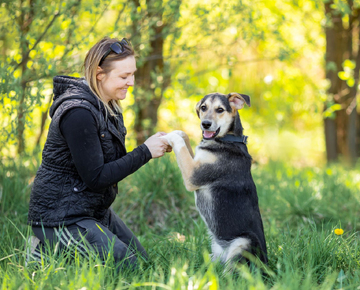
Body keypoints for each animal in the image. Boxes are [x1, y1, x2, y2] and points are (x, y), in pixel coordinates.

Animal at [162, 93, 268, 270]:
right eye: (203, 107)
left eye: (220, 109)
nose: (205, 124)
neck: (228, 139)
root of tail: (267, 267)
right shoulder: (196, 161)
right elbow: (185, 139)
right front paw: (178, 132)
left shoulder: (193, 175)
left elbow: (180, 143)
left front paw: (168, 135)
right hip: (217, 252)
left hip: (244, 241)